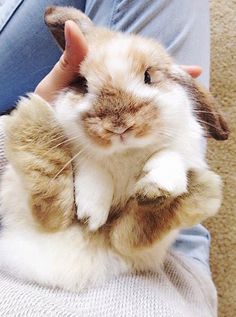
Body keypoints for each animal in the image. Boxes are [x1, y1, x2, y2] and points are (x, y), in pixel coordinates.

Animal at [0, 5, 229, 292]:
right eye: (82, 83)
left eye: (148, 76)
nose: (118, 125)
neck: (125, 152)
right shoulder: (77, 147)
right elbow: (93, 167)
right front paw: (91, 214)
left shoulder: (188, 146)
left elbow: (169, 154)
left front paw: (158, 185)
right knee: (51, 211)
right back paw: (31, 116)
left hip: (143, 246)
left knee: (129, 235)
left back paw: (190, 193)